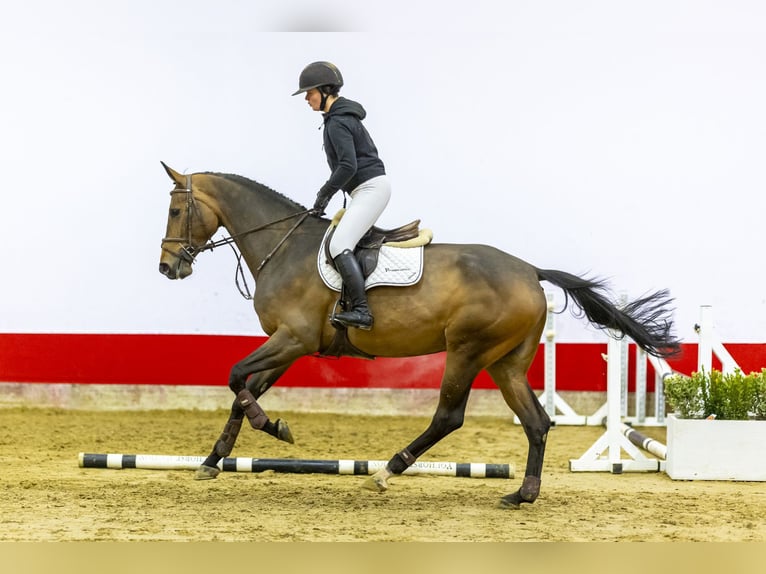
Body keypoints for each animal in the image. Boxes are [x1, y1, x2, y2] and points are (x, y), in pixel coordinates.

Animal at [158, 162, 684, 508]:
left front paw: (274, 427)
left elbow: (234, 377)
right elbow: (241, 391)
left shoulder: (294, 339)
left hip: (467, 351)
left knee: (448, 416)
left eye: (176, 210)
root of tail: (530, 271)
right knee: (536, 422)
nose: (168, 267)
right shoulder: (288, 346)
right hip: (506, 362)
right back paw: (522, 494)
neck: (283, 247)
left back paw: (385, 473)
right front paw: (214, 459)